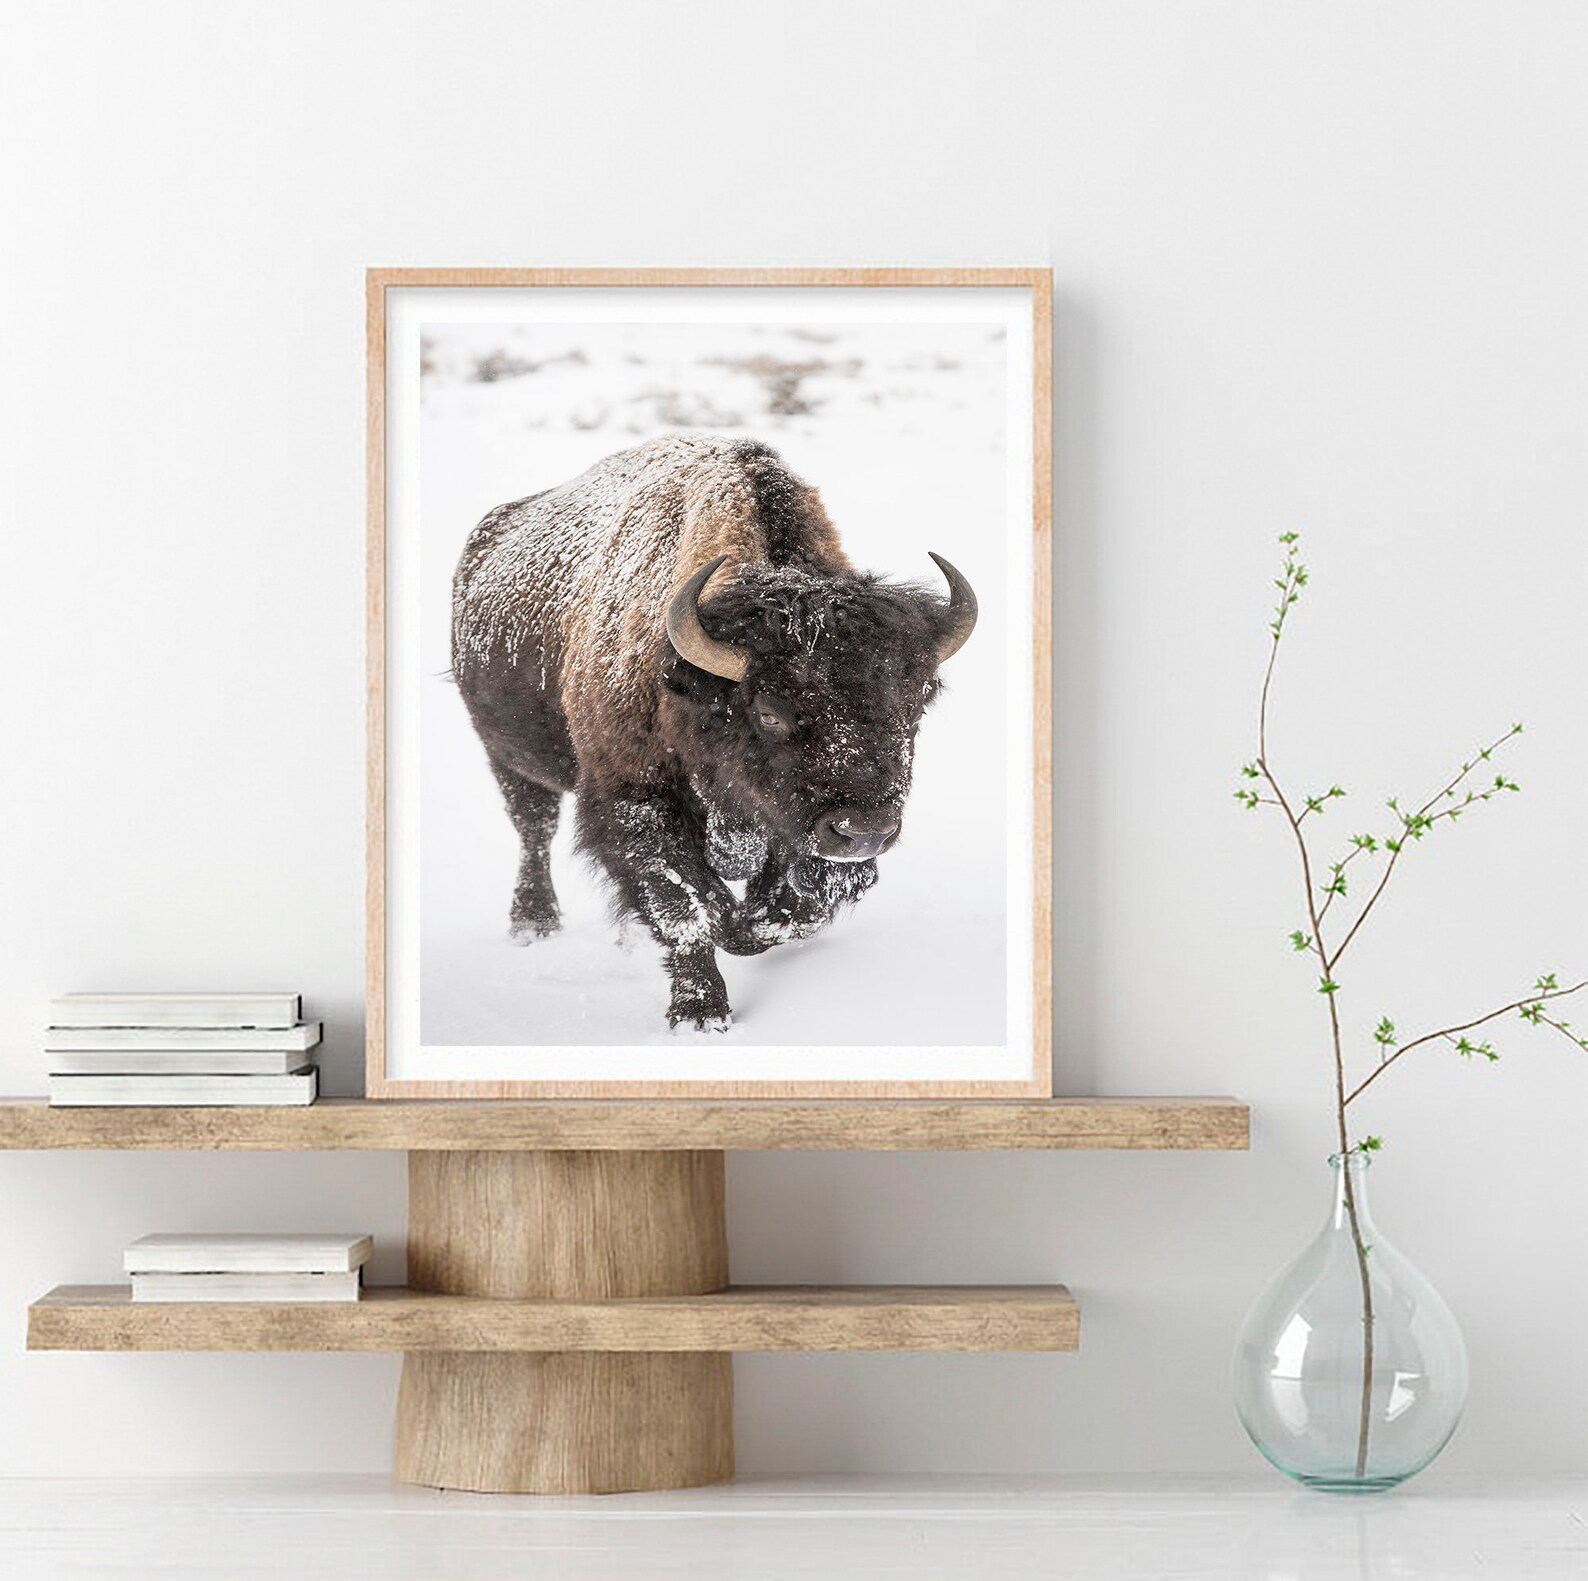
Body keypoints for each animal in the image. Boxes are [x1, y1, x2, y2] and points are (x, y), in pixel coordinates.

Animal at [451, 433, 976, 1031]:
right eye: (769, 712)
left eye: (917, 703)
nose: (864, 830)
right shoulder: (633, 802)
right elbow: (688, 907)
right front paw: (700, 1013)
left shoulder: (796, 833)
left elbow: (791, 908)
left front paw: (746, 930)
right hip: (507, 756)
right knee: (533, 829)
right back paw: (533, 924)